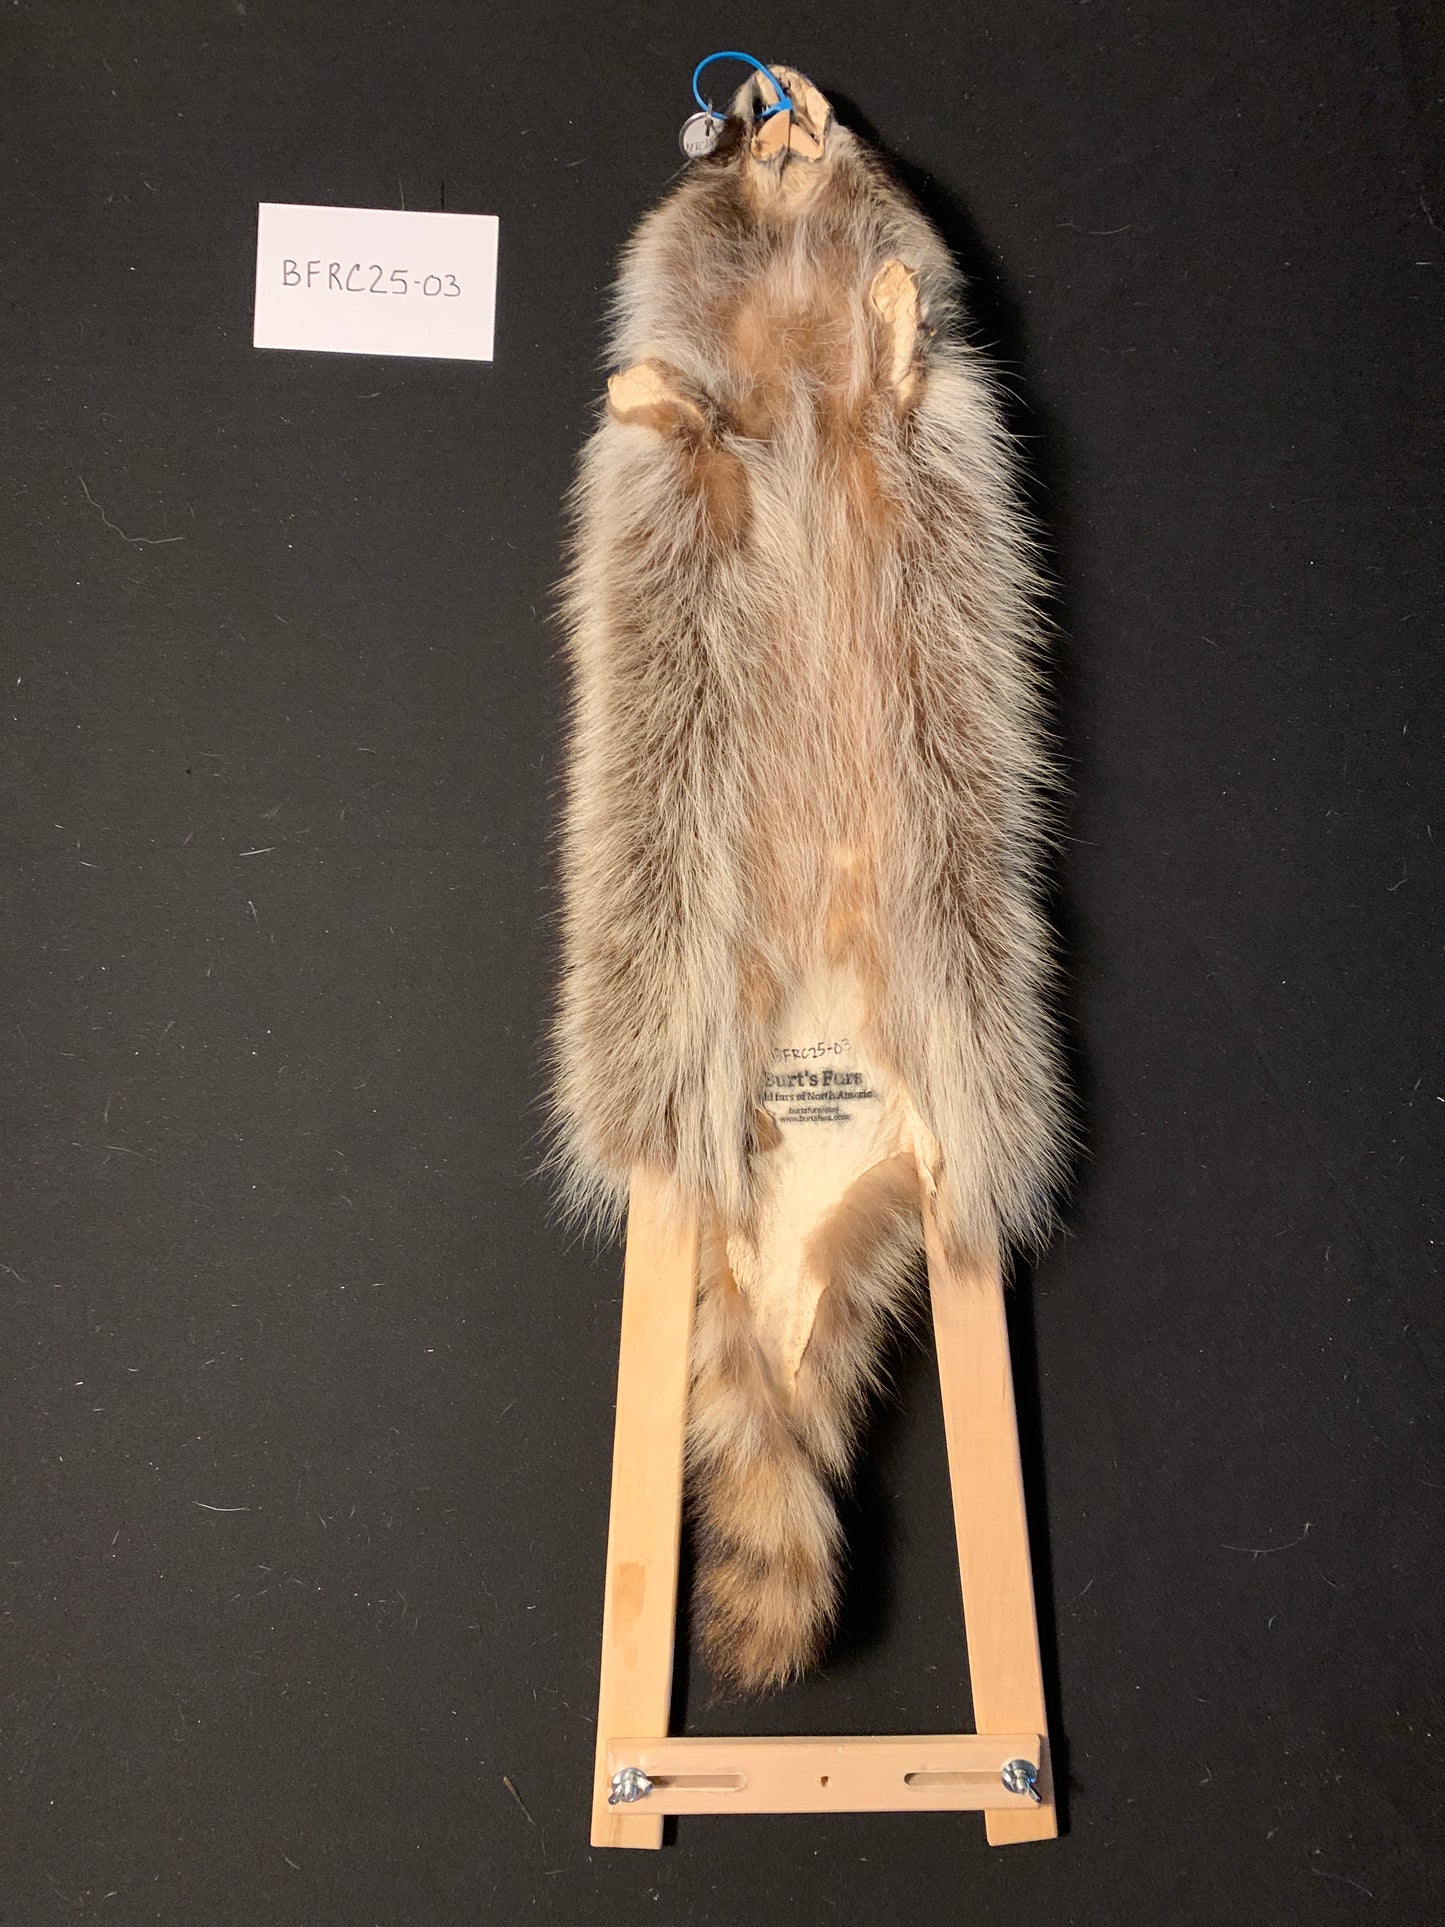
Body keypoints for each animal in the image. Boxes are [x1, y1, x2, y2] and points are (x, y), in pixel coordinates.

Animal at [551, 64, 1068, 1692]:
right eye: (727, 134)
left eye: (824, 126)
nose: (781, 105)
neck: (785, 315)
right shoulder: (696, 450)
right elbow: (681, 426)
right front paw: (662, 394)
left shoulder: (914, 435)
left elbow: (904, 391)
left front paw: (893, 326)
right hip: (677, 1013)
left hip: (944, 1044)